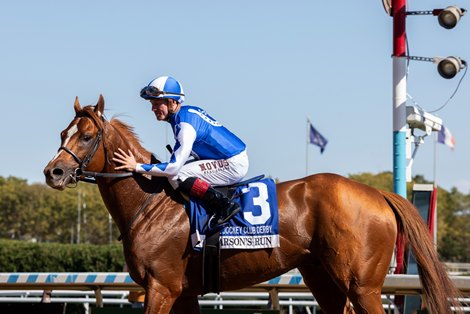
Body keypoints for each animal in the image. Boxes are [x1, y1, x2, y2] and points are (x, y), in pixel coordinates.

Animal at [42, 96, 460, 314]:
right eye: (63, 133)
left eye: (87, 136)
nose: (54, 171)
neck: (150, 204)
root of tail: (378, 194)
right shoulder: (183, 292)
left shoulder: (161, 287)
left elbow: (177, 165)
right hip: (324, 279)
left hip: (364, 286)